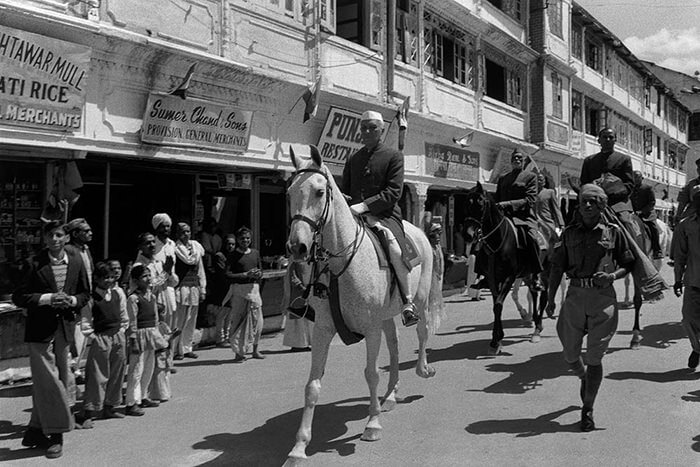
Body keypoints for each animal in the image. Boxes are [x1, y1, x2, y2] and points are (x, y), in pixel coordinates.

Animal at [284, 145, 442, 464]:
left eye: (319, 191)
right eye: (290, 191)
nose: (297, 247)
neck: (340, 262)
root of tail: (420, 231)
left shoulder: (370, 329)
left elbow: (371, 373)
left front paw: (373, 424)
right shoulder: (323, 330)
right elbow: (312, 386)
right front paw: (299, 447)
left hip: (418, 302)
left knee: (421, 333)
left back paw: (422, 369)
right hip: (386, 317)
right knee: (394, 347)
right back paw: (391, 396)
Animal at [462, 183, 548, 354]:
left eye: (480, 204)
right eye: (466, 204)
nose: (467, 235)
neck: (498, 240)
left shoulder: (509, 277)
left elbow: (498, 305)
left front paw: (497, 339)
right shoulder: (492, 279)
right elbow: (496, 306)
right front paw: (496, 340)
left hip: (546, 271)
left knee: (543, 296)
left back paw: (537, 328)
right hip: (527, 274)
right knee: (534, 293)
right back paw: (533, 320)